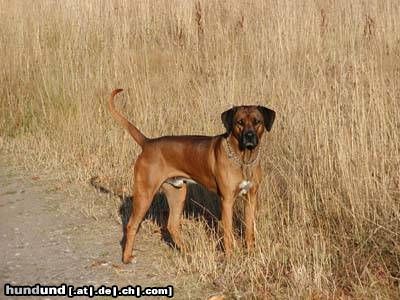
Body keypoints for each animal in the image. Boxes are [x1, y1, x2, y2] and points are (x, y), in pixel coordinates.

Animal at [108, 88, 276, 262]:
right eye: (240, 122)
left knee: (172, 225)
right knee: (131, 225)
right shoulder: (227, 200)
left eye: (257, 122)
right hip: (145, 194)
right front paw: (230, 259)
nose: (249, 136)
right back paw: (127, 257)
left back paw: (187, 252)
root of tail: (147, 143)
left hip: (177, 193)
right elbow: (228, 233)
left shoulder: (251, 197)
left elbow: (249, 230)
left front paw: (251, 254)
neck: (243, 159)